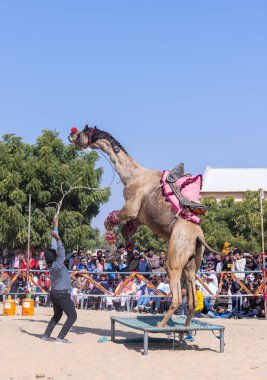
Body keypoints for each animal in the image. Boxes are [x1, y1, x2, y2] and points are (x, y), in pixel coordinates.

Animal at [68, 125, 218, 326]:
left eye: (83, 132)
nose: (70, 135)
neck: (133, 175)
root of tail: (198, 236)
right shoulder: (139, 218)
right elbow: (125, 229)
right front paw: (131, 260)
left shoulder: (131, 206)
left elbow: (109, 221)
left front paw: (112, 255)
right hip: (192, 263)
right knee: (193, 300)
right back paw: (184, 330)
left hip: (174, 260)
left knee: (177, 297)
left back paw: (161, 326)